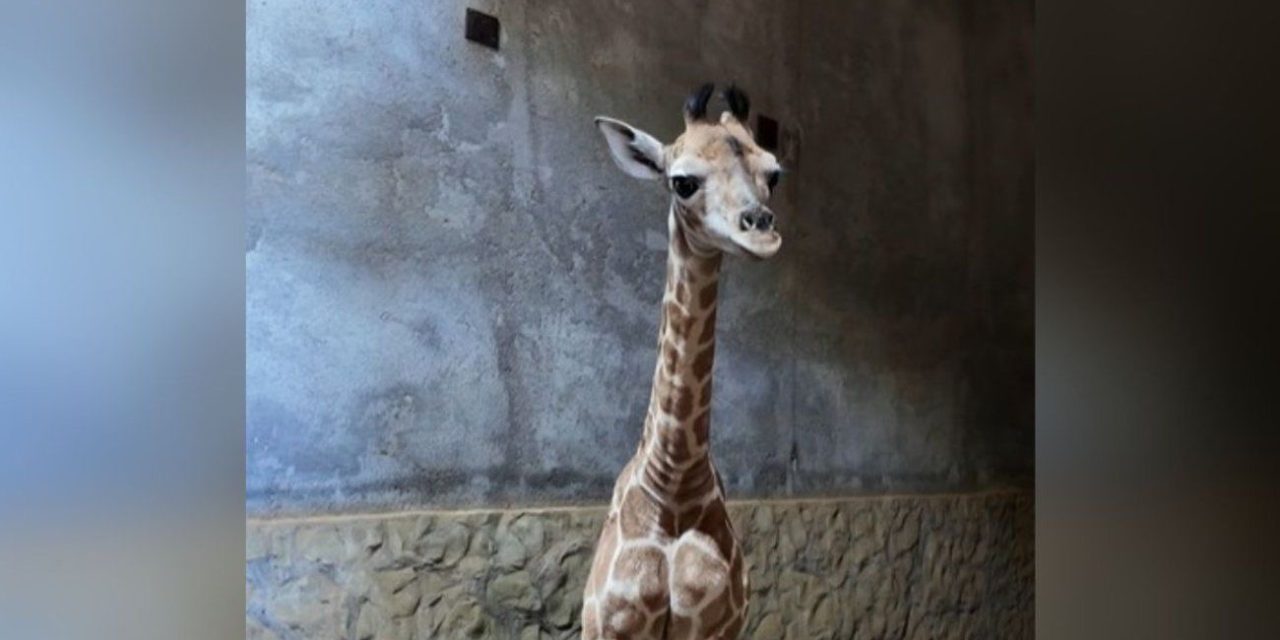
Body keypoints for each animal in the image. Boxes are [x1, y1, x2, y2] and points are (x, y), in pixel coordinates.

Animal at [580, 83, 784, 640]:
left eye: (773, 173)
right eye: (683, 182)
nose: (762, 232)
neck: (672, 487)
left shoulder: (715, 626)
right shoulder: (612, 626)